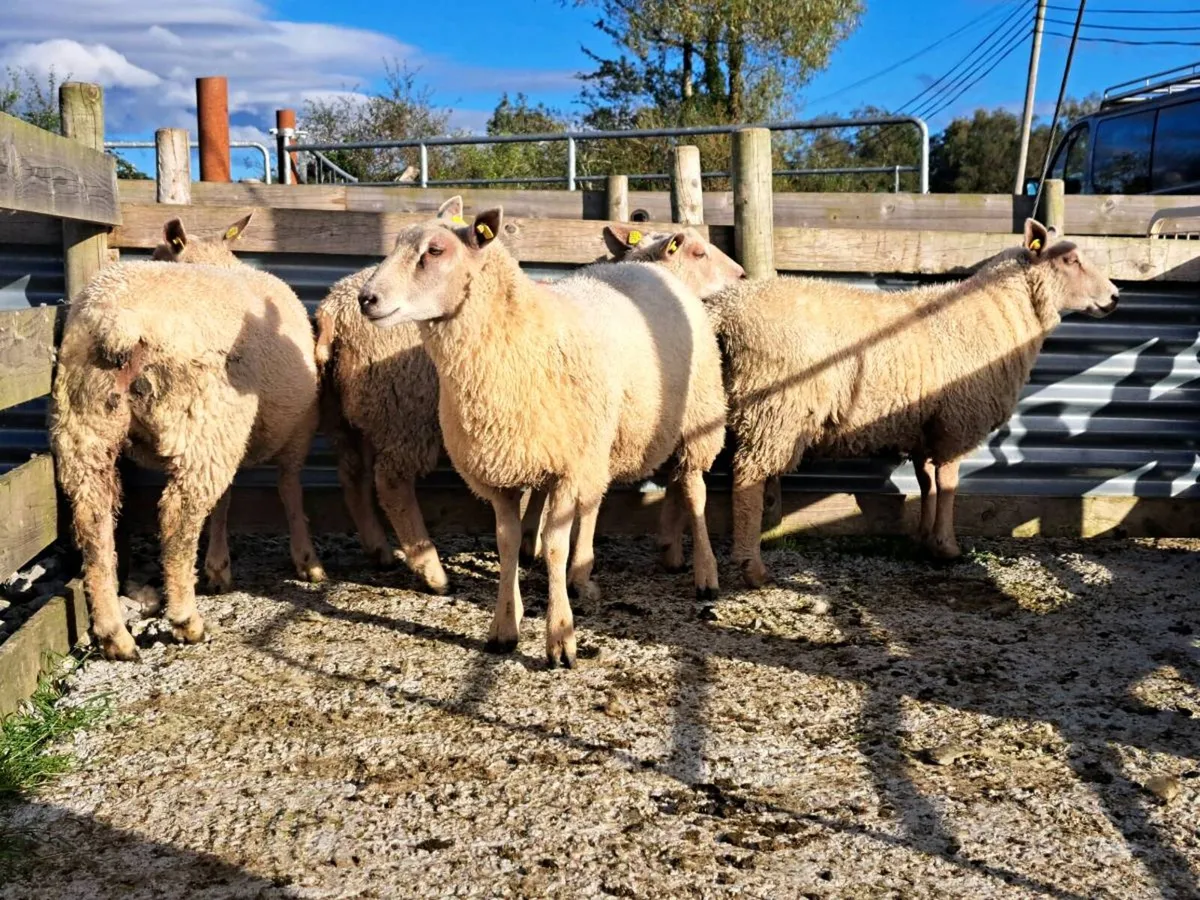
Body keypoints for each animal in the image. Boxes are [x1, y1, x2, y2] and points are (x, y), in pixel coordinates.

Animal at [51, 220, 325, 660]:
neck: (216, 259)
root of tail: (119, 320)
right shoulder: (298, 427)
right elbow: (289, 491)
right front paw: (307, 561)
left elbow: (227, 501)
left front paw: (218, 566)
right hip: (202, 421)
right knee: (178, 517)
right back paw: (186, 621)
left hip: (85, 425)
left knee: (93, 520)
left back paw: (114, 635)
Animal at [357, 206, 726, 667]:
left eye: (436, 251)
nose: (366, 298)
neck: (522, 339)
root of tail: (654, 271)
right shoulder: (500, 471)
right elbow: (507, 544)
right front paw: (504, 627)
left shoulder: (568, 465)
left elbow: (554, 545)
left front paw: (560, 638)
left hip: (697, 419)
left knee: (694, 490)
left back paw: (705, 574)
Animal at [709, 219, 1120, 588]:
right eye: (1070, 259)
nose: (1115, 296)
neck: (999, 311)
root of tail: (725, 308)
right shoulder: (957, 418)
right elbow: (949, 480)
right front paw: (946, 546)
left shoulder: (926, 424)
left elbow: (926, 482)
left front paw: (924, 537)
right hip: (773, 411)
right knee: (748, 479)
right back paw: (752, 569)